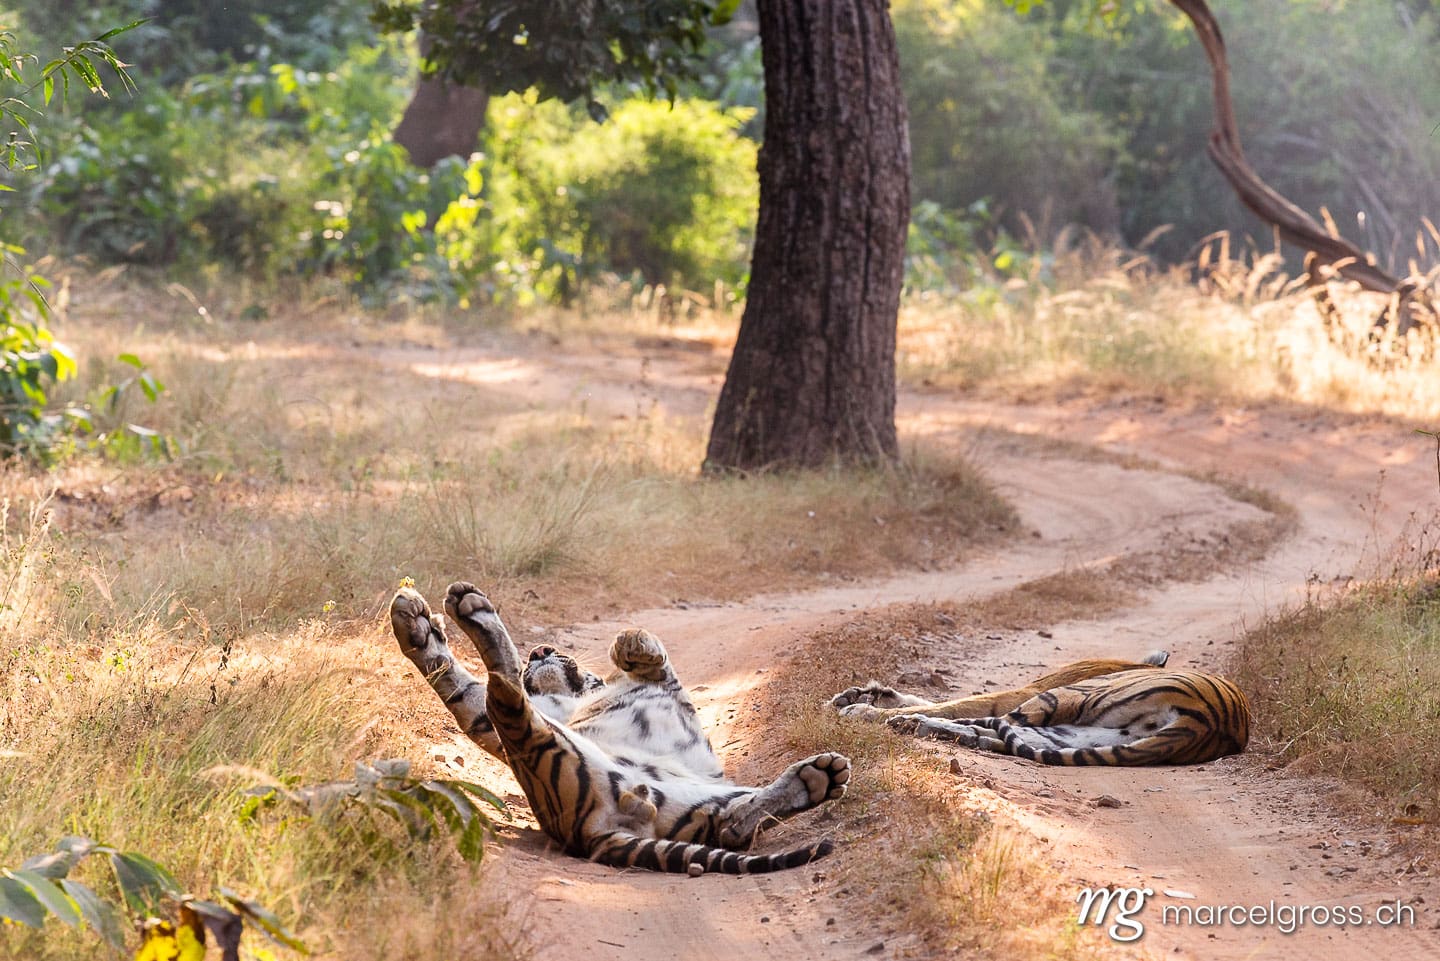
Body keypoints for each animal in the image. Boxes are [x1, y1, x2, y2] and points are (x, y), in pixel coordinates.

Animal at [389, 582, 850, 875]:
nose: (540, 650)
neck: (572, 701)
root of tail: (592, 834)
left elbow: (462, 691)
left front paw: (415, 626)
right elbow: (658, 661)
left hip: (701, 797)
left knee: (731, 824)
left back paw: (817, 777)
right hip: (560, 751)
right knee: (504, 691)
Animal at [831, 651, 1250, 766]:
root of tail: (1214, 722)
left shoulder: (1028, 689)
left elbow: (955, 701)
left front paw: (864, 707)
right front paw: (864, 694)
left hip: (1067, 696)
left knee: (993, 722)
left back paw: (907, 723)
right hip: (1081, 735)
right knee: (1003, 734)